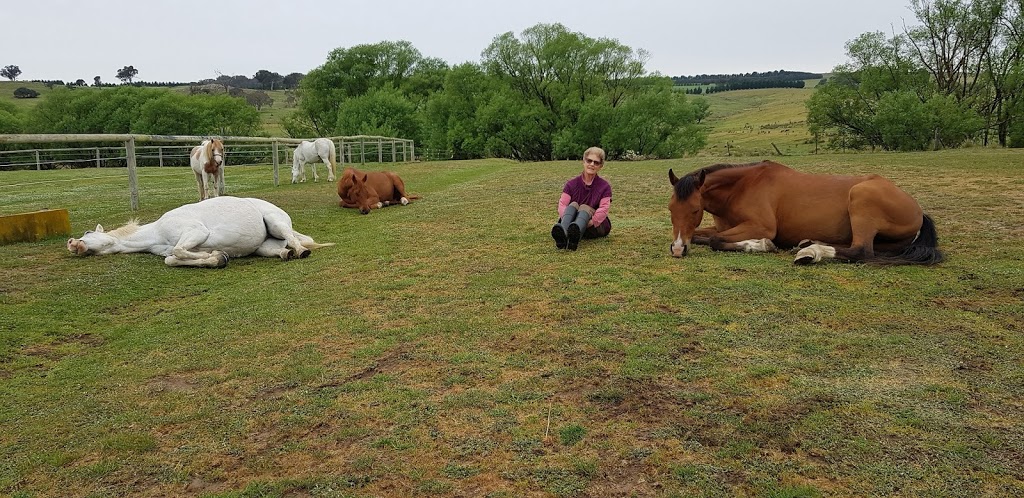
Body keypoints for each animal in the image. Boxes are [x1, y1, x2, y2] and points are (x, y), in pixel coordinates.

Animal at [68, 195, 331, 268]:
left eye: (88, 232)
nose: (72, 243)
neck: (155, 233)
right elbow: (172, 259)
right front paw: (217, 257)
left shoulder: (195, 232)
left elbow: (178, 251)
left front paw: (214, 256)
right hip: (264, 247)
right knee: (282, 250)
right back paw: (287, 254)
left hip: (276, 223)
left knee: (295, 241)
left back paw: (301, 251)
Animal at [663, 161, 942, 266]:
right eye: (670, 208)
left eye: (695, 209)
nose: (677, 250)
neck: (741, 187)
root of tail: (918, 209)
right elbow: (701, 235)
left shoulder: (761, 226)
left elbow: (714, 240)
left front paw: (762, 245)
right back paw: (809, 243)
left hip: (861, 198)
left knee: (861, 250)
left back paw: (810, 252)